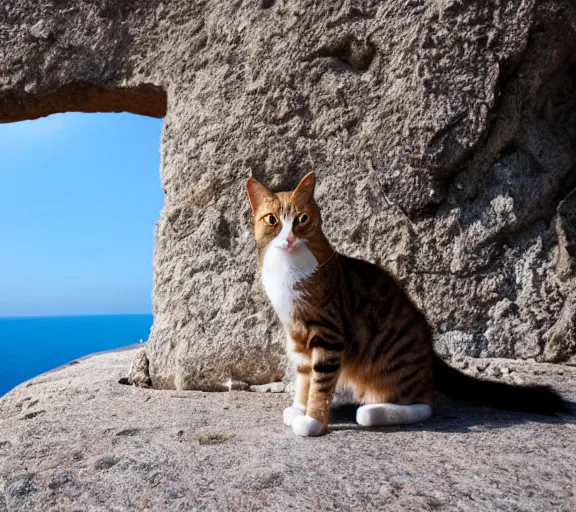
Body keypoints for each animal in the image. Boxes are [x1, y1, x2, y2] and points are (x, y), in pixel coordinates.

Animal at [245, 172, 564, 436]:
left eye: (301, 219)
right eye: (272, 220)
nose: (289, 237)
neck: (287, 268)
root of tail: (430, 349)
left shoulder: (328, 333)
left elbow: (320, 383)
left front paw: (312, 421)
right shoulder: (297, 336)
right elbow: (304, 376)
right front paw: (299, 408)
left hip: (394, 356)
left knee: (422, 404)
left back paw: (371, 413)